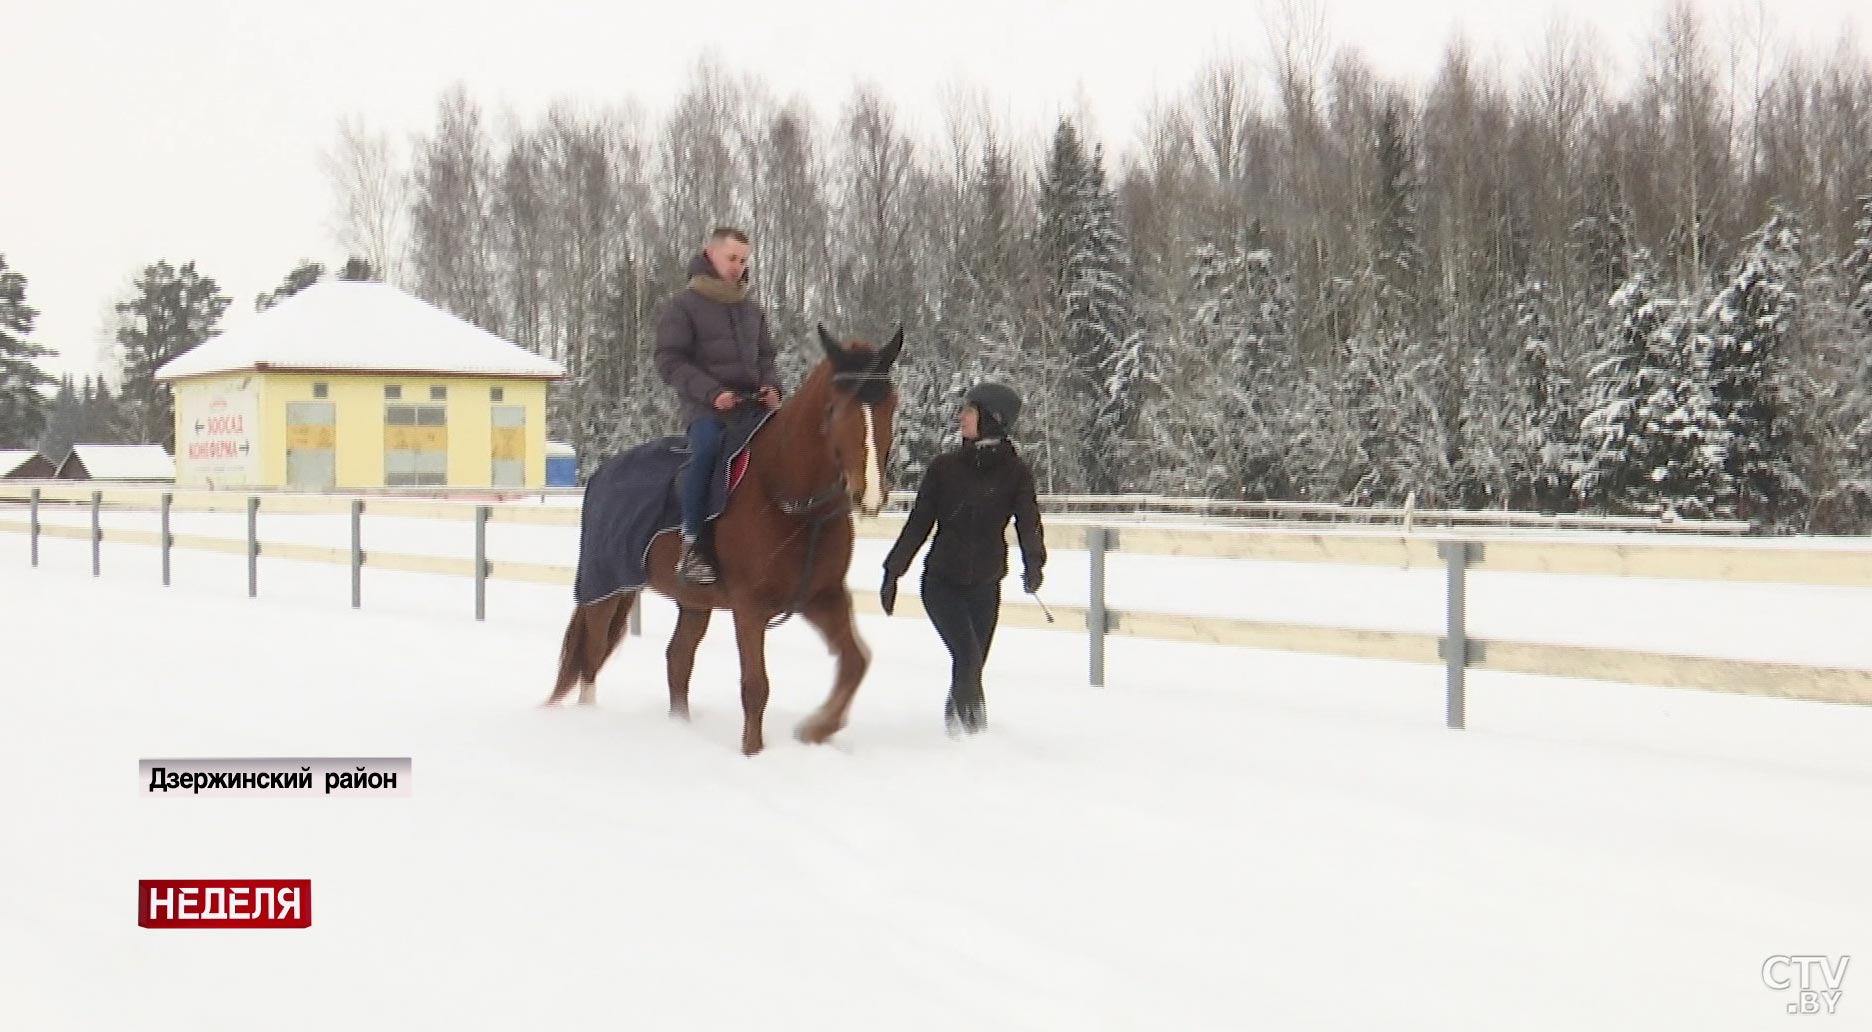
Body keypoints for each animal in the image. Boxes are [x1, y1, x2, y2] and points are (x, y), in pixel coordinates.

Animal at [546, 327, 902, 756]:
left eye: (891, 405)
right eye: (835, 408)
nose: (870, 496)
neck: (787, 498)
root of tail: (602, 475)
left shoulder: (823, 597)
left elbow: (855, 661)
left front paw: (816, 730)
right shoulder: (750, 607)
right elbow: (755, 686)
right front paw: (753, 753)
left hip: (693, 601)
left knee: (677, 658)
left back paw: (680, 727)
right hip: (605, 590)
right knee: (593, 654)